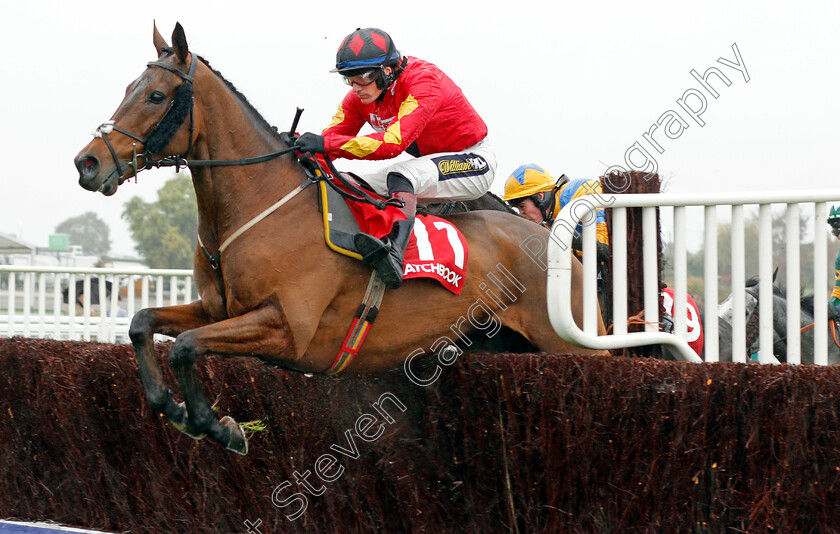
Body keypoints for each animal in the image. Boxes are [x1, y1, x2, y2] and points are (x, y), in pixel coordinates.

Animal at [72, 22, 604, 456]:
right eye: (129, 88)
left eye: (156, 96)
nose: (87, 163)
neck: (262, 206)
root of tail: (549, 238)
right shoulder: (218, 310)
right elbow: (142, 323)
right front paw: (178, 409)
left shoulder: (288, 329)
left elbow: (185, 347)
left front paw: (218, 425)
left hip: (569, 342)